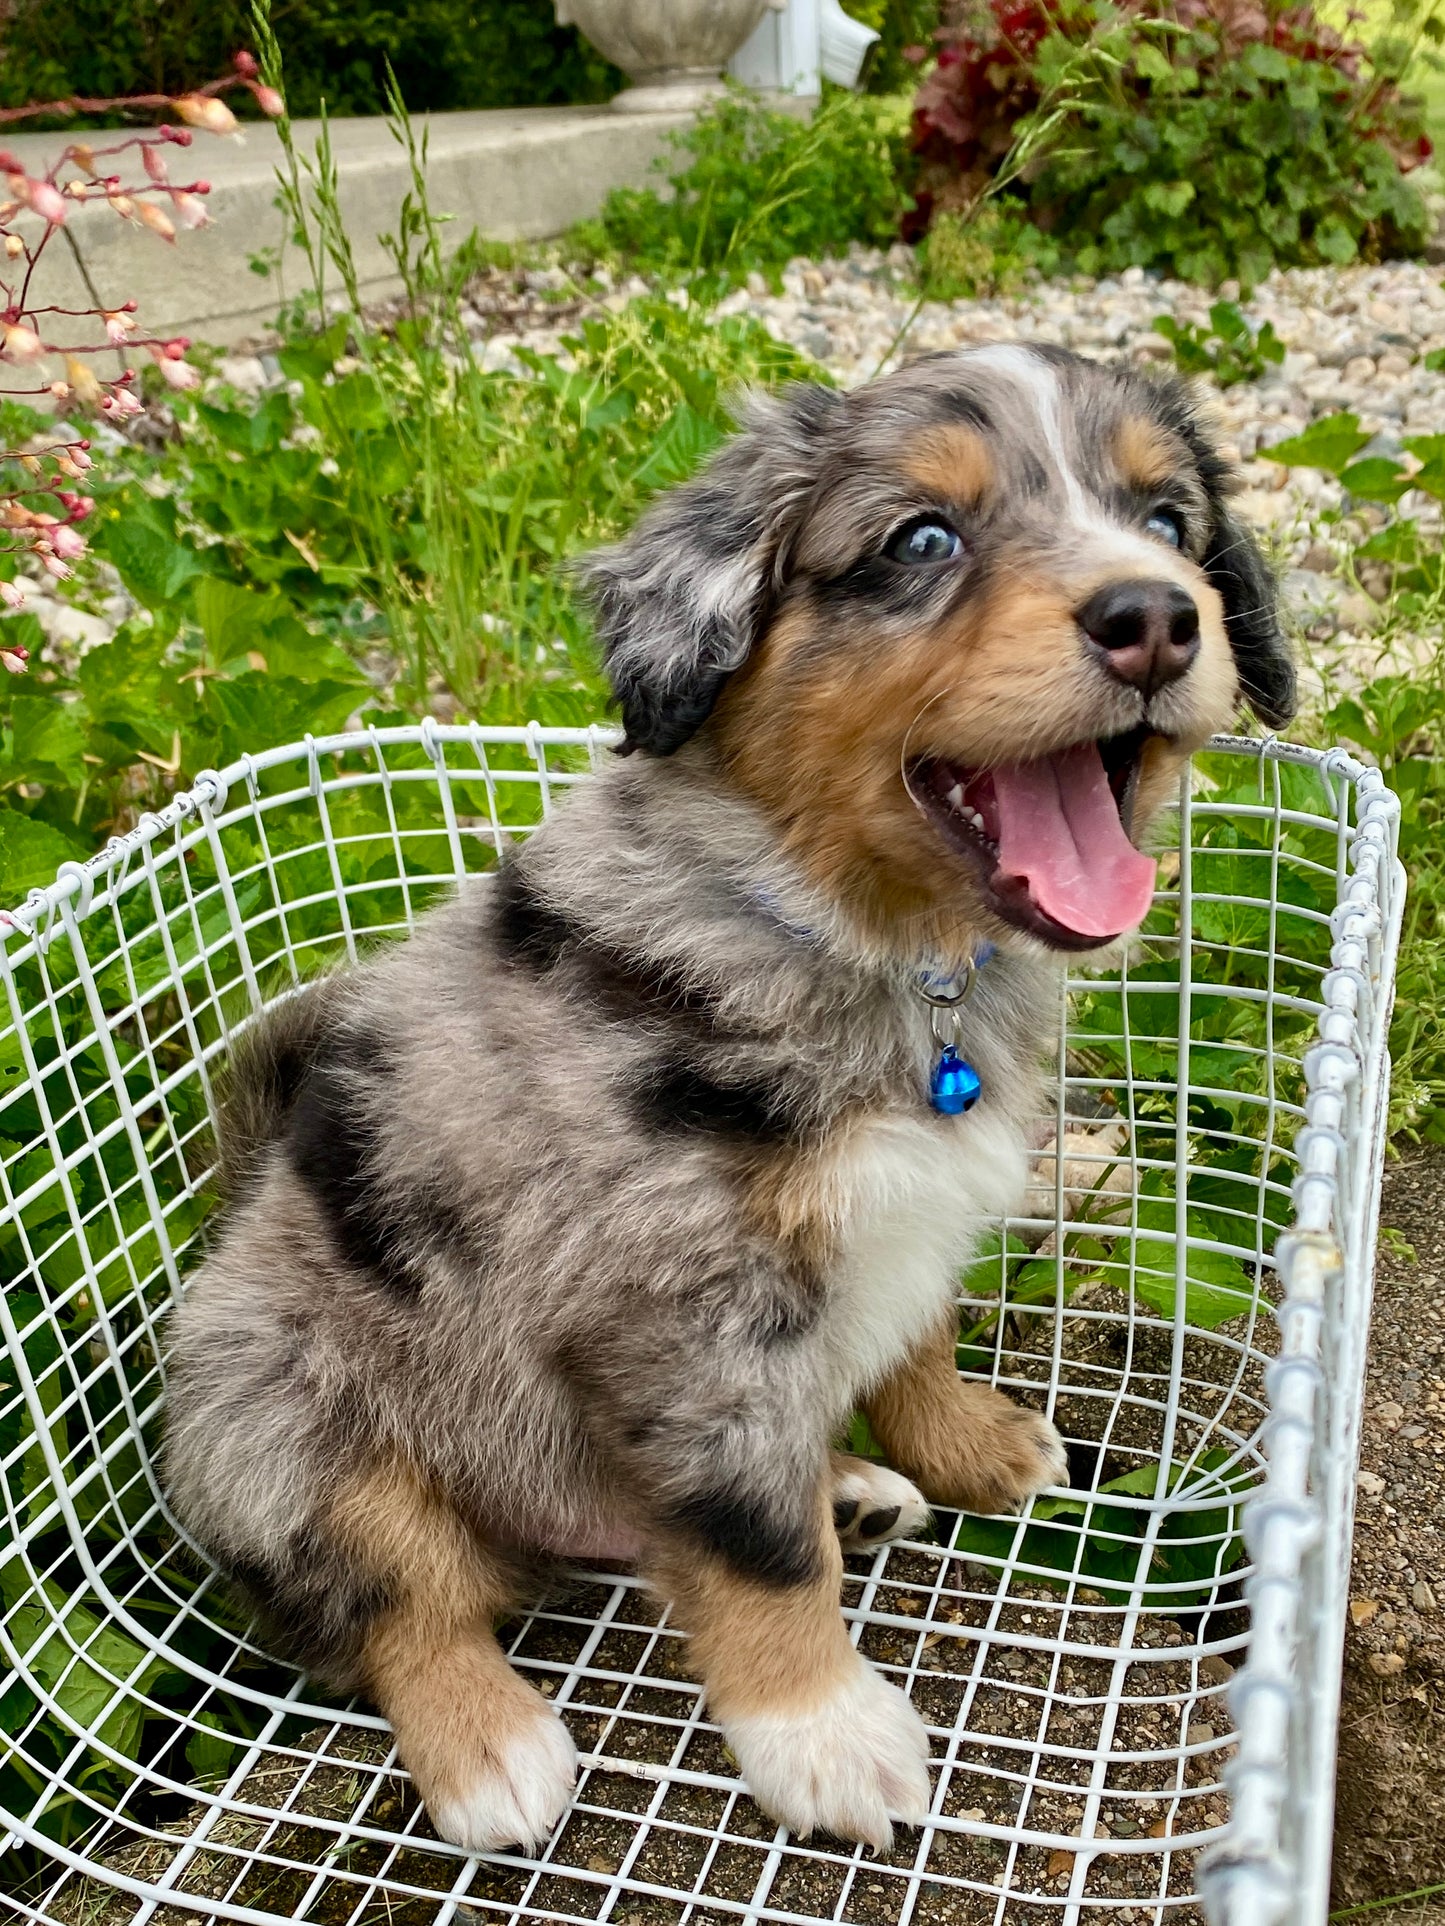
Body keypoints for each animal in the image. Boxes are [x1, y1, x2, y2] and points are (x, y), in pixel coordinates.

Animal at [163, 342, 1294, 1848]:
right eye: (920, 541)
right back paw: (488, 1747)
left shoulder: (907, 1212)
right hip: (275, 1415)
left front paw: (968, 1449)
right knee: (400, 1593)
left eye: (1169, 521)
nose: (1156, 619)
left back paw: (853, 1489)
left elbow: (916, 1338)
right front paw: (820, 1736)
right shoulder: (690, 1307)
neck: (873, 948)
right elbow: (754, 1551)